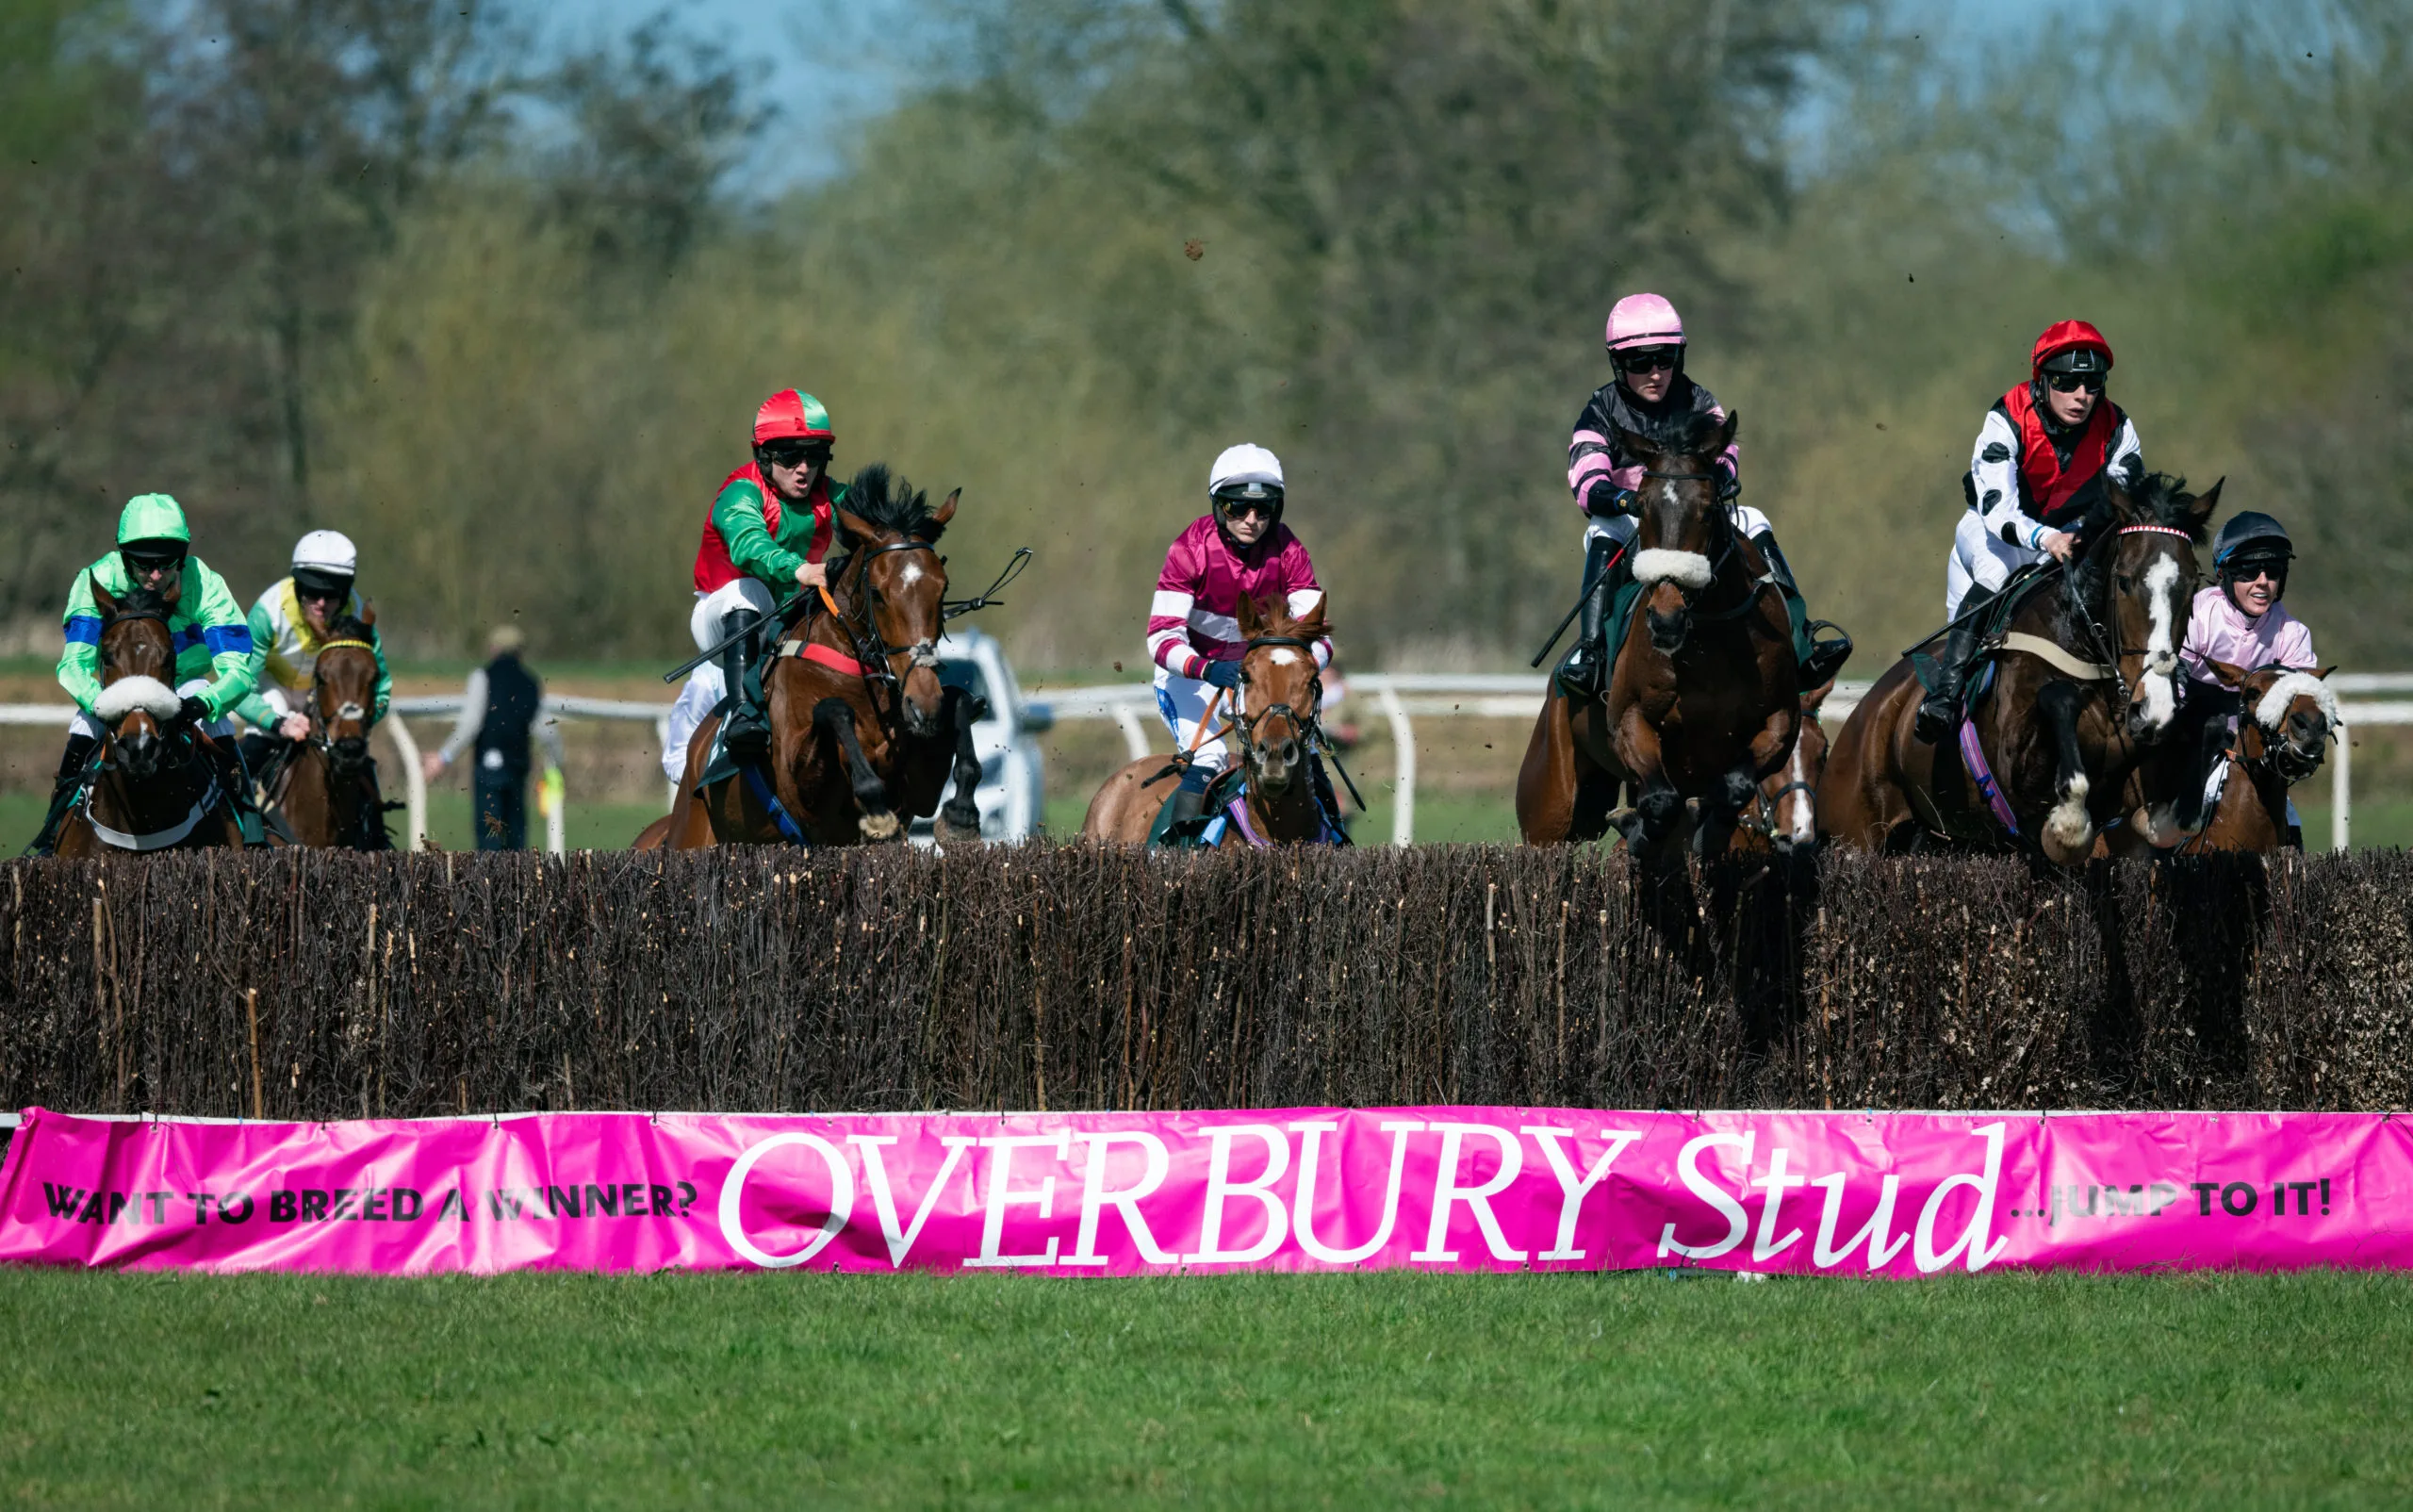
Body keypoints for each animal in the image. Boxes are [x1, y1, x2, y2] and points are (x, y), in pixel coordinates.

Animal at [665, 465, 981, 848]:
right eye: (877, 593)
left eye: (943, 588)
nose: (923, 705)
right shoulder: (800, 788)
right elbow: (833, 709)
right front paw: (875, 806)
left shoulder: (917, 791)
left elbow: (959, 699)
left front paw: (961, 815)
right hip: (693, 835)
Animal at [1516, 409, 1800, 857]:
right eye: (1641, 506)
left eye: (1707, 509)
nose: (1666, 619)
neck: (1708, 646)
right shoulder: (1629, 718)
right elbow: (1661, 801)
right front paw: (1638, 830)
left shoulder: (1781, 720)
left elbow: (1734, 787)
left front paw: (1707, 828)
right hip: (1550, 808)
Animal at [1818, 473, 2219, 864]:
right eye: (2124, 581)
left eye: (2191, 584)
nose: (2154, 707)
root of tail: (1870, 706)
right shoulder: (2017, 765)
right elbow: (2058, 698)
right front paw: (2068, 823)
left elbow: (2202, 733)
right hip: (1853, 836)